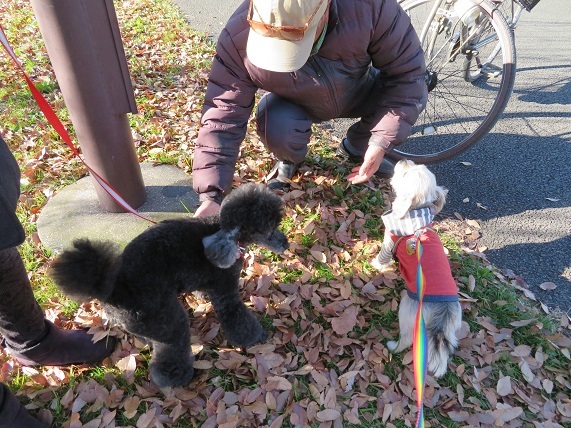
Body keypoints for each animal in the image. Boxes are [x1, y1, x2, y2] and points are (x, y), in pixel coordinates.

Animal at [374, 160, 462, 378]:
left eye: (406, 174)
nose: (404, 160)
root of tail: (442, 315)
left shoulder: (389, 242)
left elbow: (381, 259)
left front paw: (374, 265)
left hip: (407, 310)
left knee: (406, 340)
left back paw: (392, 346)